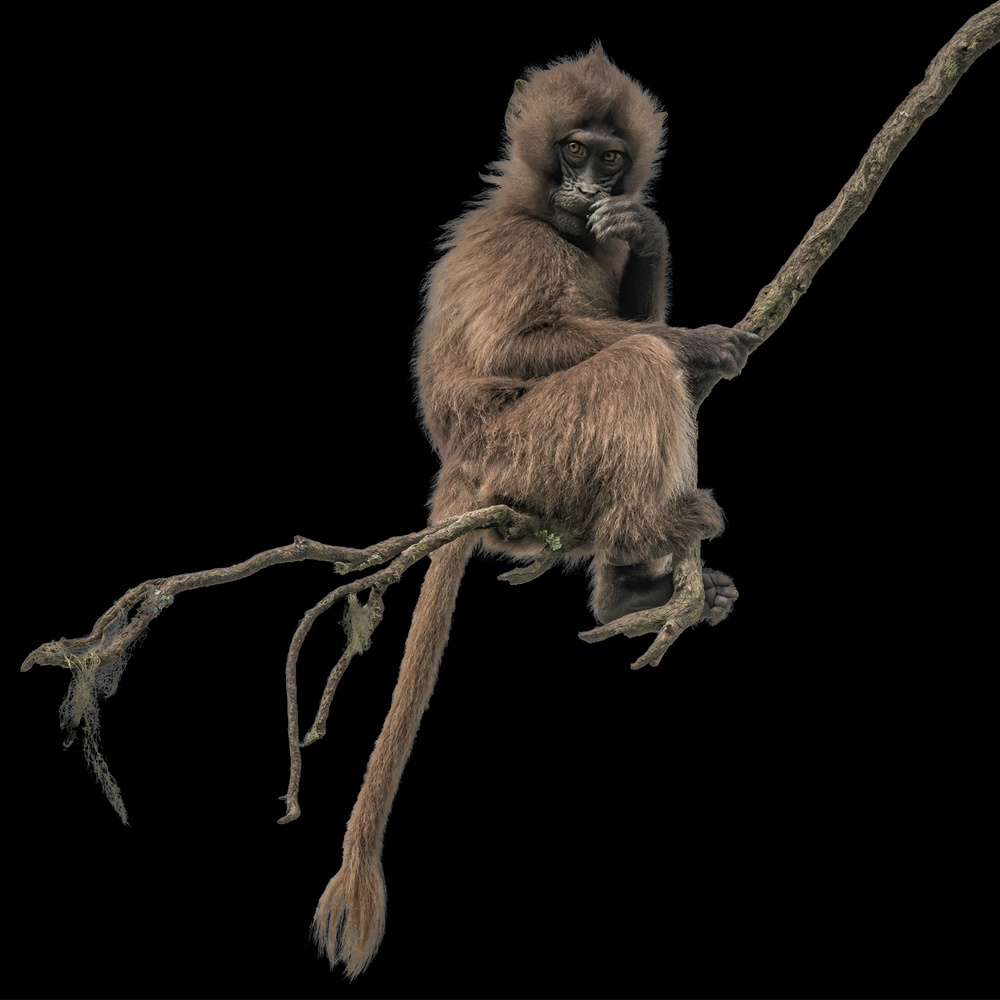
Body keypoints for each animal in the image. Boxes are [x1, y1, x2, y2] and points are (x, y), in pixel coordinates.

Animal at [313, 46, 760, 977]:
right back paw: (645, 531)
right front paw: (699, 340)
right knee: (636, 365)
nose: (591, 188)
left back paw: (628, 590)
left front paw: (647, 232)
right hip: (523, 450)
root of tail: (458, 472)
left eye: (613, 159)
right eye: (575, 150)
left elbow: (632, 268)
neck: (538, 213)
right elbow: (523, 347)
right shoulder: (517, 247)